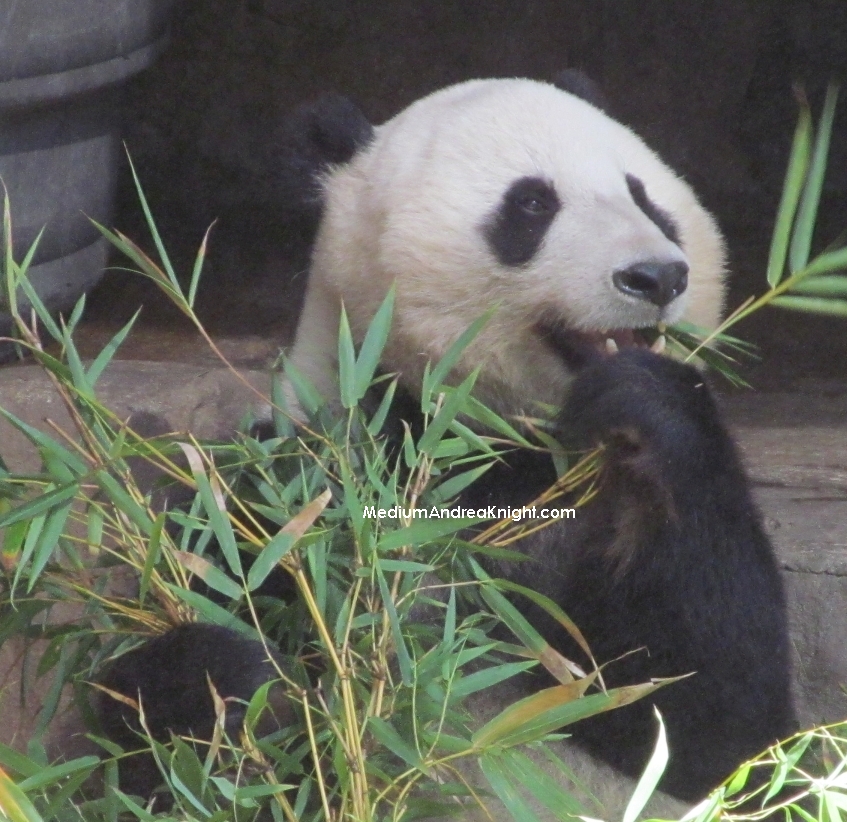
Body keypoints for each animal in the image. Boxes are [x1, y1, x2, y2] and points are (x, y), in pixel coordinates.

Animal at [97, 75, 796, 815]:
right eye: (532, 204)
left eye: (645, 198)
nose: (656, 277)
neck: (477, 436)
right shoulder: (292, 486)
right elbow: (143, 730)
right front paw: (236, 685)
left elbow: (707, 723)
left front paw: (647, 403)